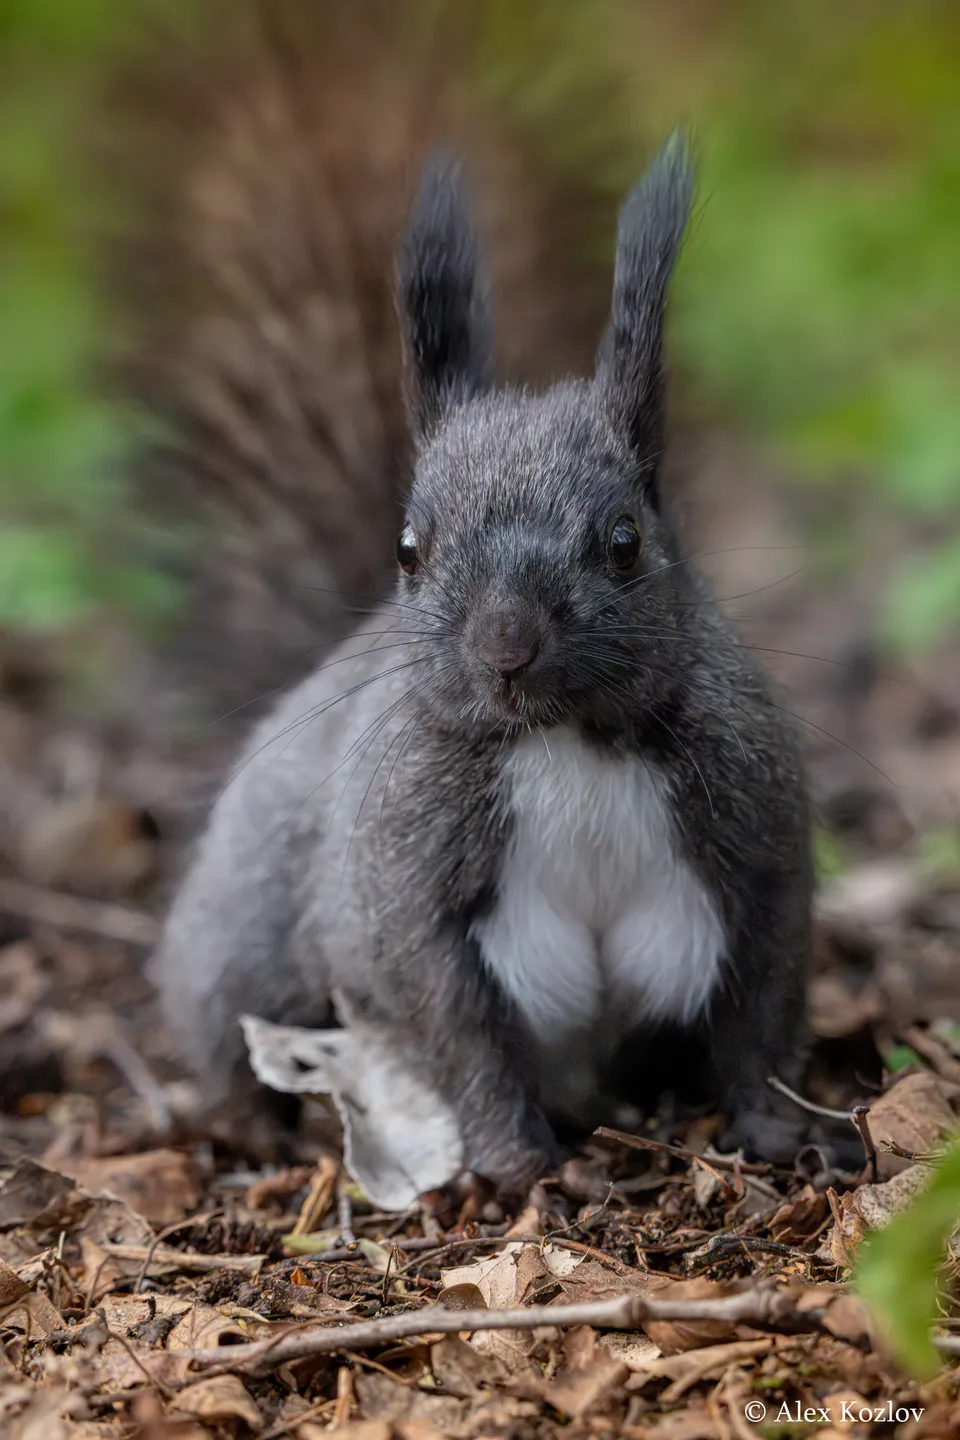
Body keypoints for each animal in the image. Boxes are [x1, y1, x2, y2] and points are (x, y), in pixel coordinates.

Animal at [153, 135, 823, 1190]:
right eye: (407, 549)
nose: (507, 650)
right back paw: (252, 1127)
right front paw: (517, 1164)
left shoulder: (758, 843)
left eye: (626, 541)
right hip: (242, 939)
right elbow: (461, 1033)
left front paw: (777, 1131)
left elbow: (762, 1008)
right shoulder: (404, 896)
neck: (566, 741)